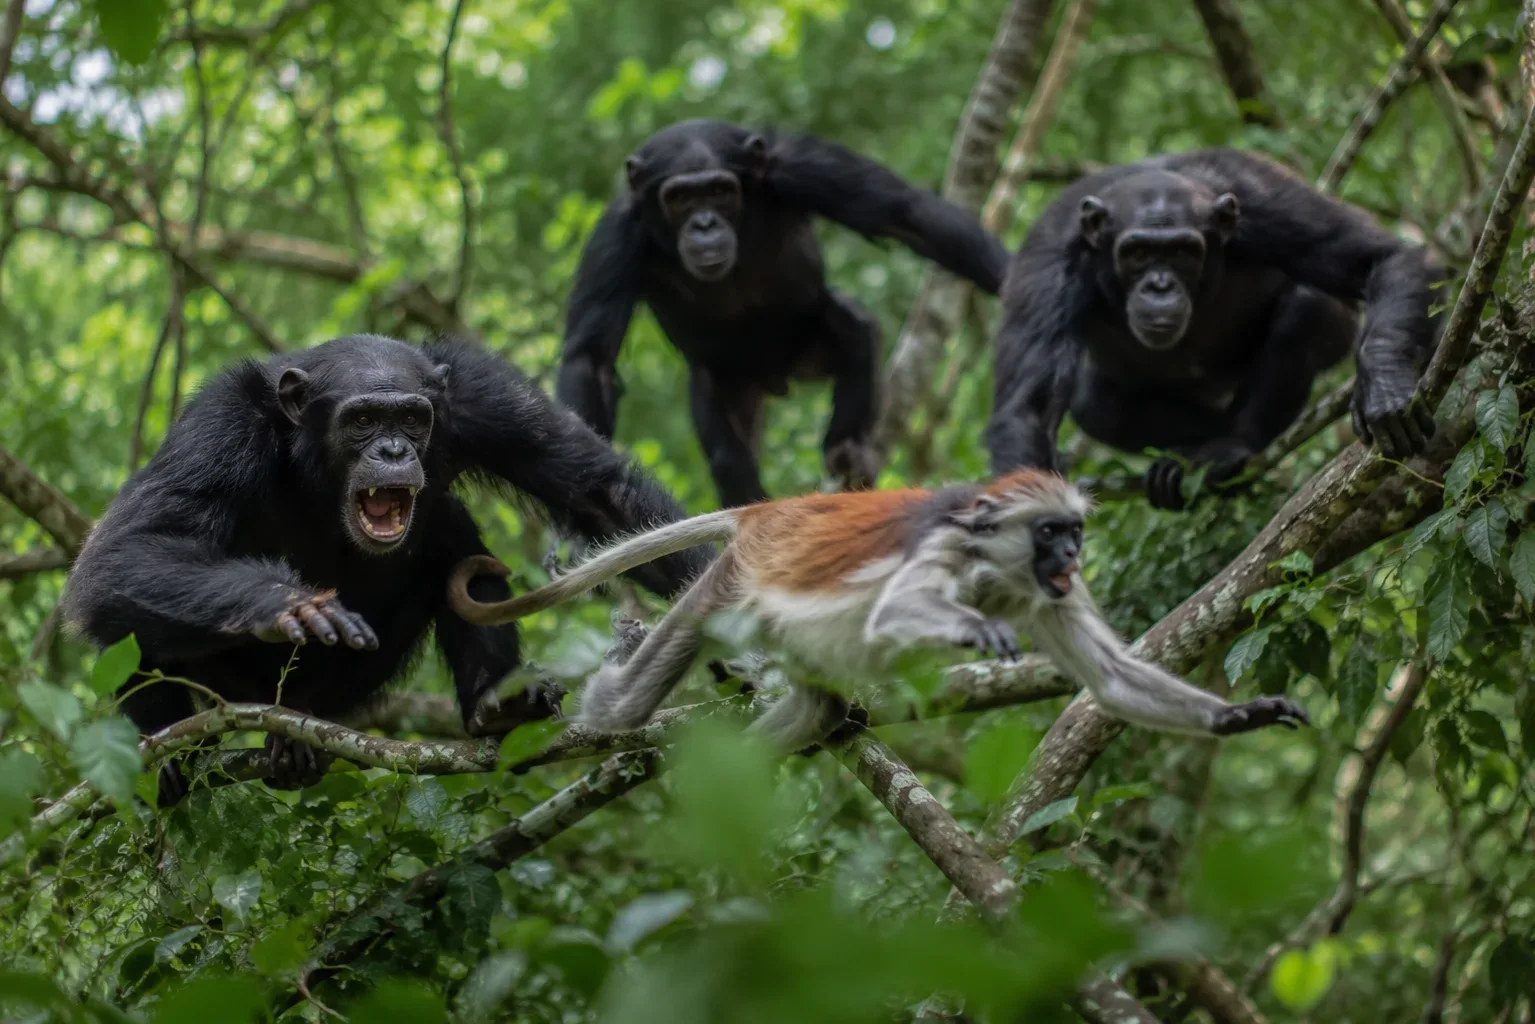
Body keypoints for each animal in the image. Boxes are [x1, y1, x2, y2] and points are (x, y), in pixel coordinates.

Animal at [446, 470, 1308, 752]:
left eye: (1073, 533)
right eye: (1052, 532)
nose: (1071, 556)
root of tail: (770, 513)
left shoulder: (1043, 595)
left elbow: (1111, 679)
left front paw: (1240, 716)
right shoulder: (945, 548)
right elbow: (895, 613)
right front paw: (971, 629)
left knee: (812, 712)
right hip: (733, 584)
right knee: (623, 706)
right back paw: (614, 678)